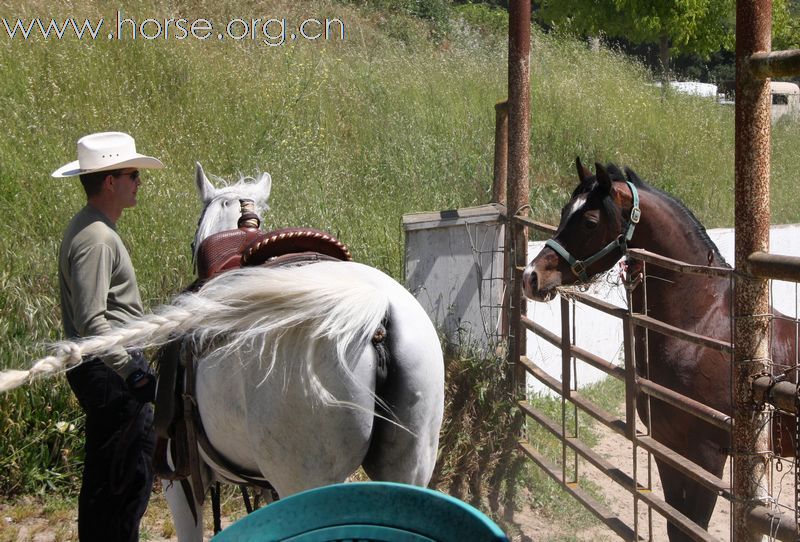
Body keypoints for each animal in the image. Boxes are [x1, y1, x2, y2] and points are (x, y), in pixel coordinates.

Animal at [520, 160, 796, 542]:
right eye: (563, 212)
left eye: (589, 221)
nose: (532, 277)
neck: (702, 326)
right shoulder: (667, 445)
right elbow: (676, 525)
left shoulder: (706, 456)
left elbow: (694, 527)